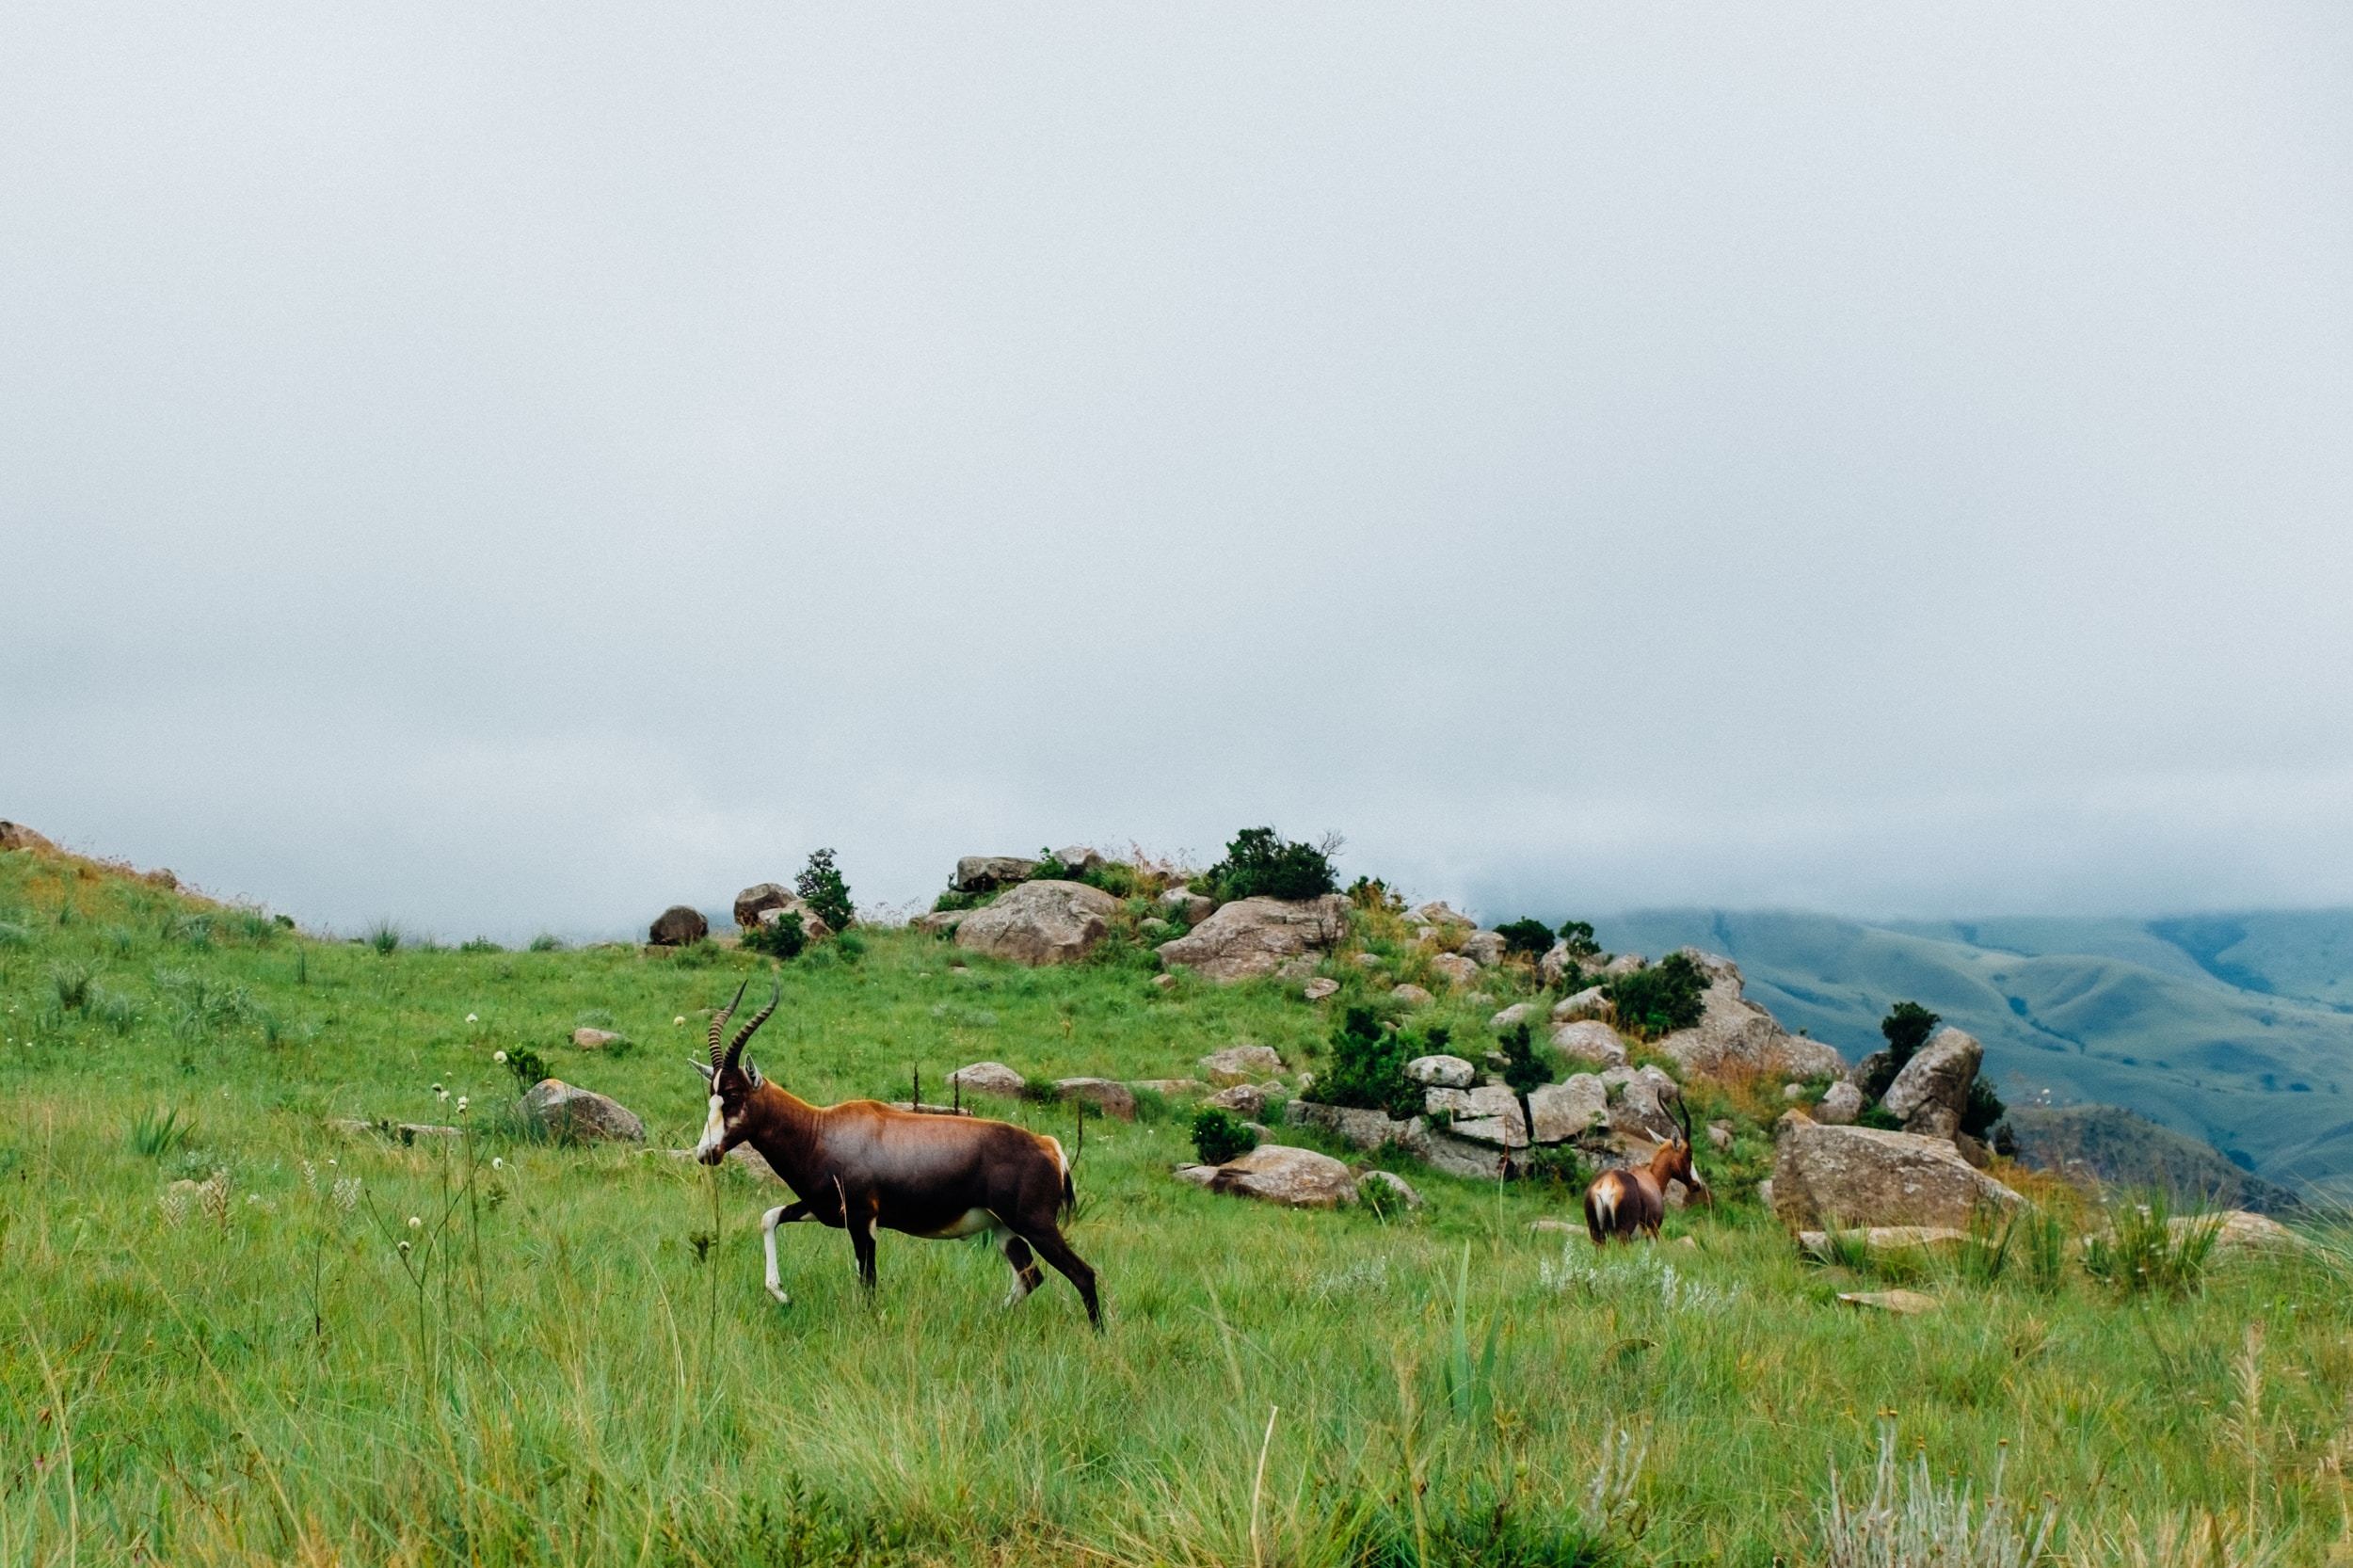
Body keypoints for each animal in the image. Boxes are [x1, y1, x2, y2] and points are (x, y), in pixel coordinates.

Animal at [692, 979, 1106, 1318]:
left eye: (733, 1095)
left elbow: (868, 1283)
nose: (705, 1153)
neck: (821, 1129)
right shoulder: (823, 1210)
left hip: (1036, 1225)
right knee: (1030, 1277)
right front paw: (781, 1294)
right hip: (1004, 1228)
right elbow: (769, 1217)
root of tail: (1049, 1147)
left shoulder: (863, 1221)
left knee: (1083, 1274)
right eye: (711, 1095)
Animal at [1581, 1082, 1713, 1242]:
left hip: (1597, 1236)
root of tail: (1608, 1183)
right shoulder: (1653, 1235)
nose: (1697, 1184)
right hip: (1622, 1236)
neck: (1651, 1177)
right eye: (1689, 1153)